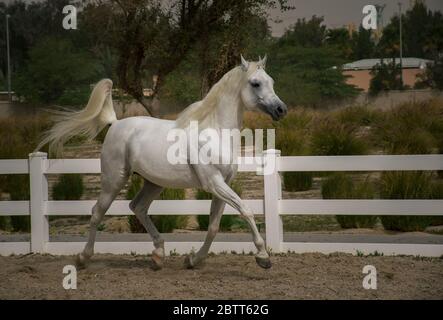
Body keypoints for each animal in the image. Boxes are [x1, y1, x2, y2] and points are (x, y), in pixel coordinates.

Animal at [37, 55, 288, 270]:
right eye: (255, 83)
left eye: (272, 81)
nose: (281, 109)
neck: (214, 132)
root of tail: (115, 123)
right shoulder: (214, 183)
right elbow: (246, 211)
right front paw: (263, 257)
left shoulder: (222, 185)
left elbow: (213, 227)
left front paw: (192, 260)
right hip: (114, 180)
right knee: (98, 212)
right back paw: (82, 258)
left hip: (153, 182)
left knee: (137, 207)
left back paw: (158, 255)